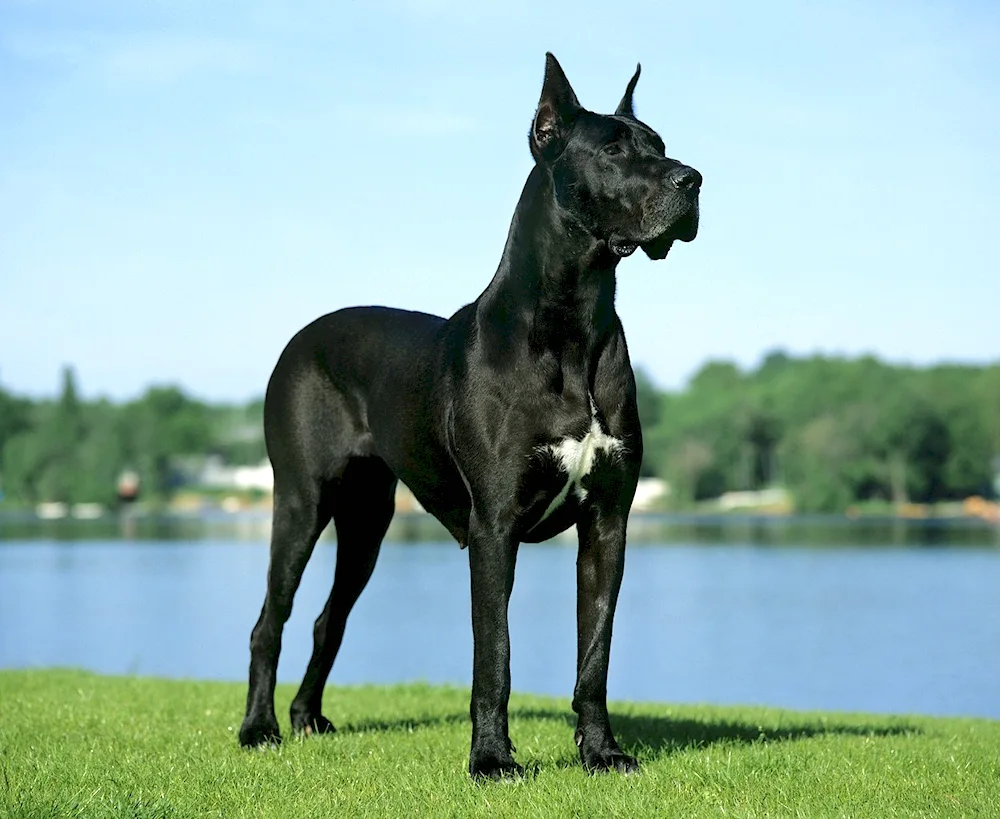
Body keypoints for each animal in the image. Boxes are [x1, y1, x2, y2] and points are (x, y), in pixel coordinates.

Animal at [238, 54, 700, 780]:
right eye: (613, 150)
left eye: (658, 143)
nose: (693, 179)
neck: (573, 321)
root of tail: (303, 335)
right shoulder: (494, 525)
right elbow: (495, 654)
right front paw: (490, 759)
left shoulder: (608, 523)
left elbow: (595, 653)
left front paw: (601, 751)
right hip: (301, 500)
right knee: (270, 621)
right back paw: (259, 728)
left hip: (367, 521)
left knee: (326, 620)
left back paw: (308, 718)